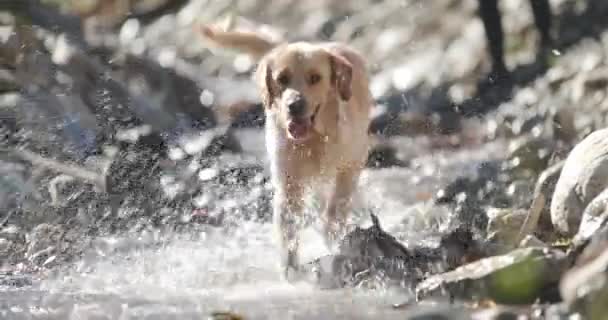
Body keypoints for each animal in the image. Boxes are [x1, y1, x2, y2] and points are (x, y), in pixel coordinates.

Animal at [201, 23, 370, 278]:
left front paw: (333, 236)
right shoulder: (289, 183)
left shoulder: (350, 165)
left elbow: (336, 207)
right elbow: (288, 227)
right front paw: (290, 270)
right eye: (282, 78)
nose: (294, 105)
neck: (314, 139)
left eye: (315, 78)